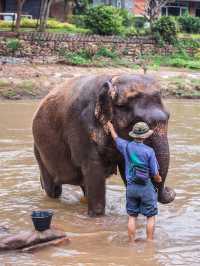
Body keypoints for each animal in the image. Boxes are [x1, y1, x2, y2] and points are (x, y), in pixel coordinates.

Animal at [32, 74, 175, 216]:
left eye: (168, 116)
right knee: (53, 190)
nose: (170, 191)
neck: (113, 80)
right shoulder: (81, 128)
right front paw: (97, 216)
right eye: (138, 121)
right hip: (39, 151)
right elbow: (94, 169)